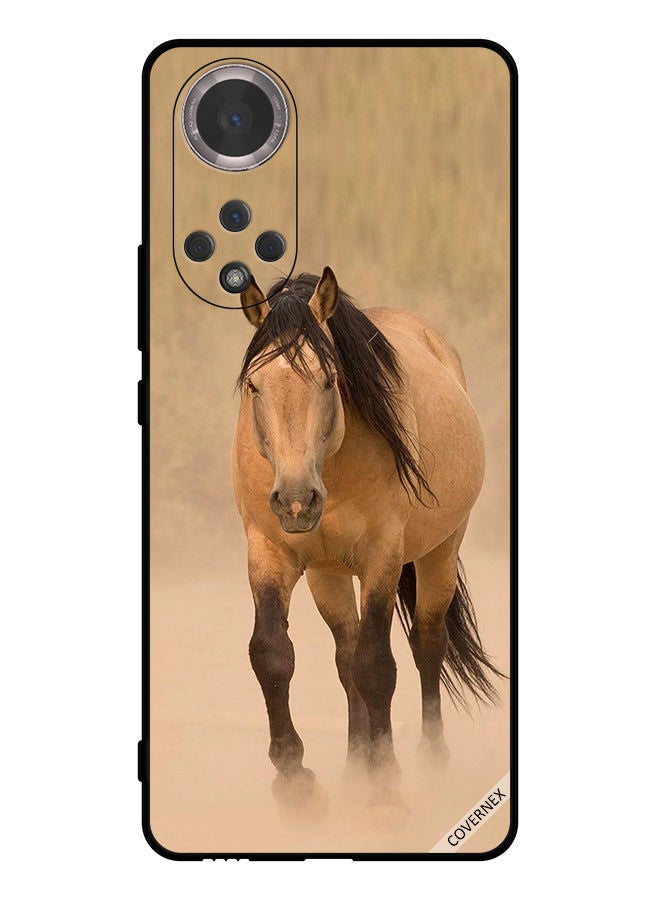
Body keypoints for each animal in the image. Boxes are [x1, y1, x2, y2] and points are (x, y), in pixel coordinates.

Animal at [231, 267, 501, 818]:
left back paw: (429, 762)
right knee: (345, 655)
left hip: (440, 552)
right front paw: (296, 780)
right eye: (254, 384)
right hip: (327, 573)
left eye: (330, 379)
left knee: (425, 645)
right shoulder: (269, 553)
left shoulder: (382, 559)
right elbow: (272, 654)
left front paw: (386, 787)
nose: (296, 502)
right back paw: (356, 767)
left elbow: (378, 667)